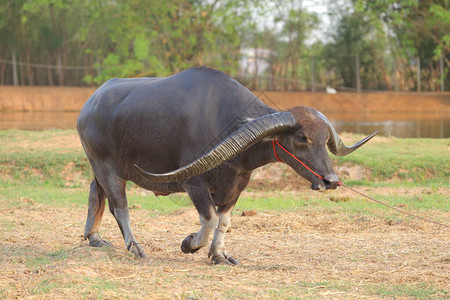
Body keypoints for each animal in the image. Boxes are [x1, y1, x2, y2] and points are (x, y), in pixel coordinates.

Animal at [77, 67, 376, 264]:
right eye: (302, 137)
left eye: (325, 139)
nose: (331, 180)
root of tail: (89, 104)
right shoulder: (194, 183)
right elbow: (209, 219)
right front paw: (189, 245)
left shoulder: (237, 186)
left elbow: (224, 221)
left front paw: (218, 254)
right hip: (107, 168)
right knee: (120, 207)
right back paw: (135, 247)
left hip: (98, 169)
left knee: (95, 194)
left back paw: (94, 237)